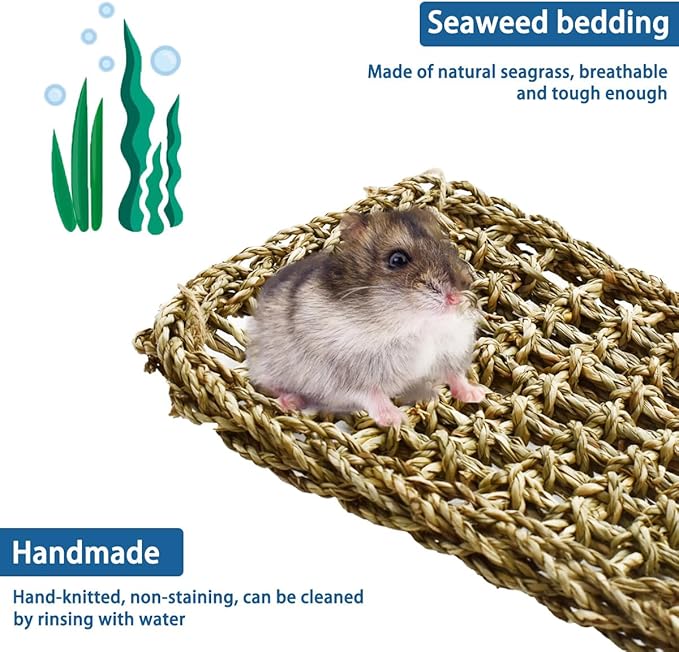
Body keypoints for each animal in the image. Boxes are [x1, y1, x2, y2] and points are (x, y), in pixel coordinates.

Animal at [246, 206, 488, 427]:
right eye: (397, 259)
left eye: (450, 248)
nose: (456, 299)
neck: (416, 325)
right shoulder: (348, 374)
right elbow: (372, 393)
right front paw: (395, 419)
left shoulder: (451, 350)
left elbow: (455, 375)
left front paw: (477, 394)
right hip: (267, 366)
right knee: (266, 384)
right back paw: (291, 401)